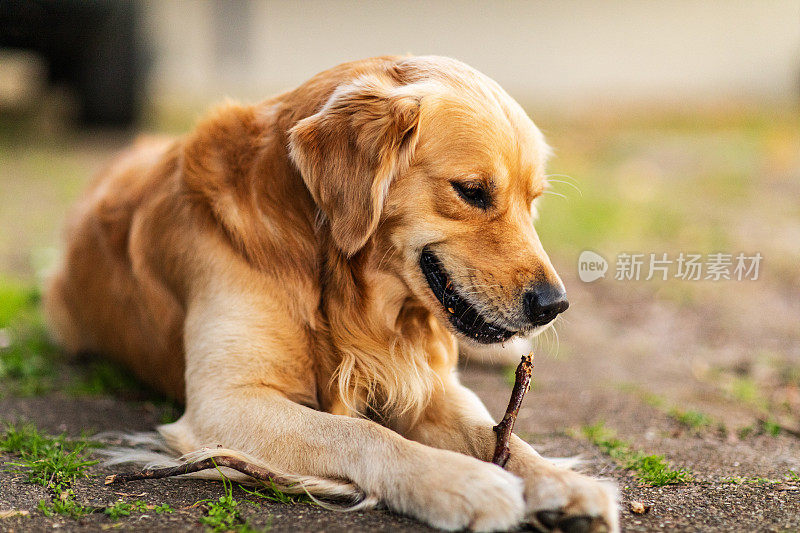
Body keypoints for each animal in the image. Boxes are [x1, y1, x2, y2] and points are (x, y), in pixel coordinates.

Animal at [43, 56, 620, 528]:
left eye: (534, 200)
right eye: (472, 192)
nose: (554, 305)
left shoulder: (431, 385)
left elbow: (498, 433)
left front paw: (561, 483)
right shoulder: (227, 402)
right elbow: (363, 433)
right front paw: (464, 482)